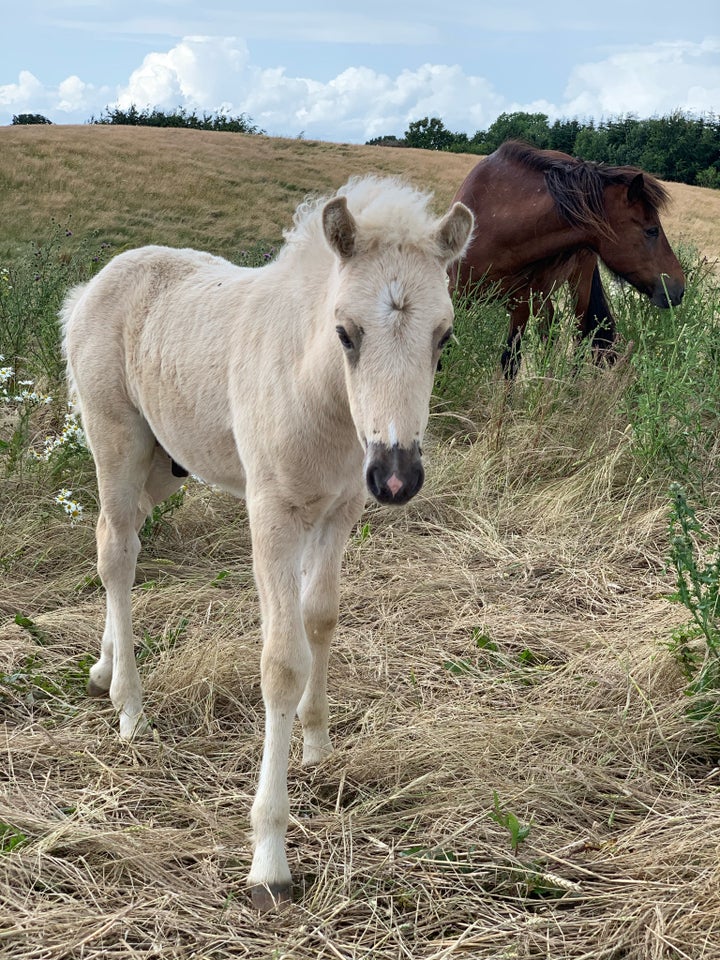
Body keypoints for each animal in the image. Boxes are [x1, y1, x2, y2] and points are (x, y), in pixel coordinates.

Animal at [450, 141, 688, 376]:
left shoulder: (521, 306)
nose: (679, 288)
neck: (498, 224)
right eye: (652, 230)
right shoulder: (456, 294)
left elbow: (511, 361)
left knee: (578, 337)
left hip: (577, 284)